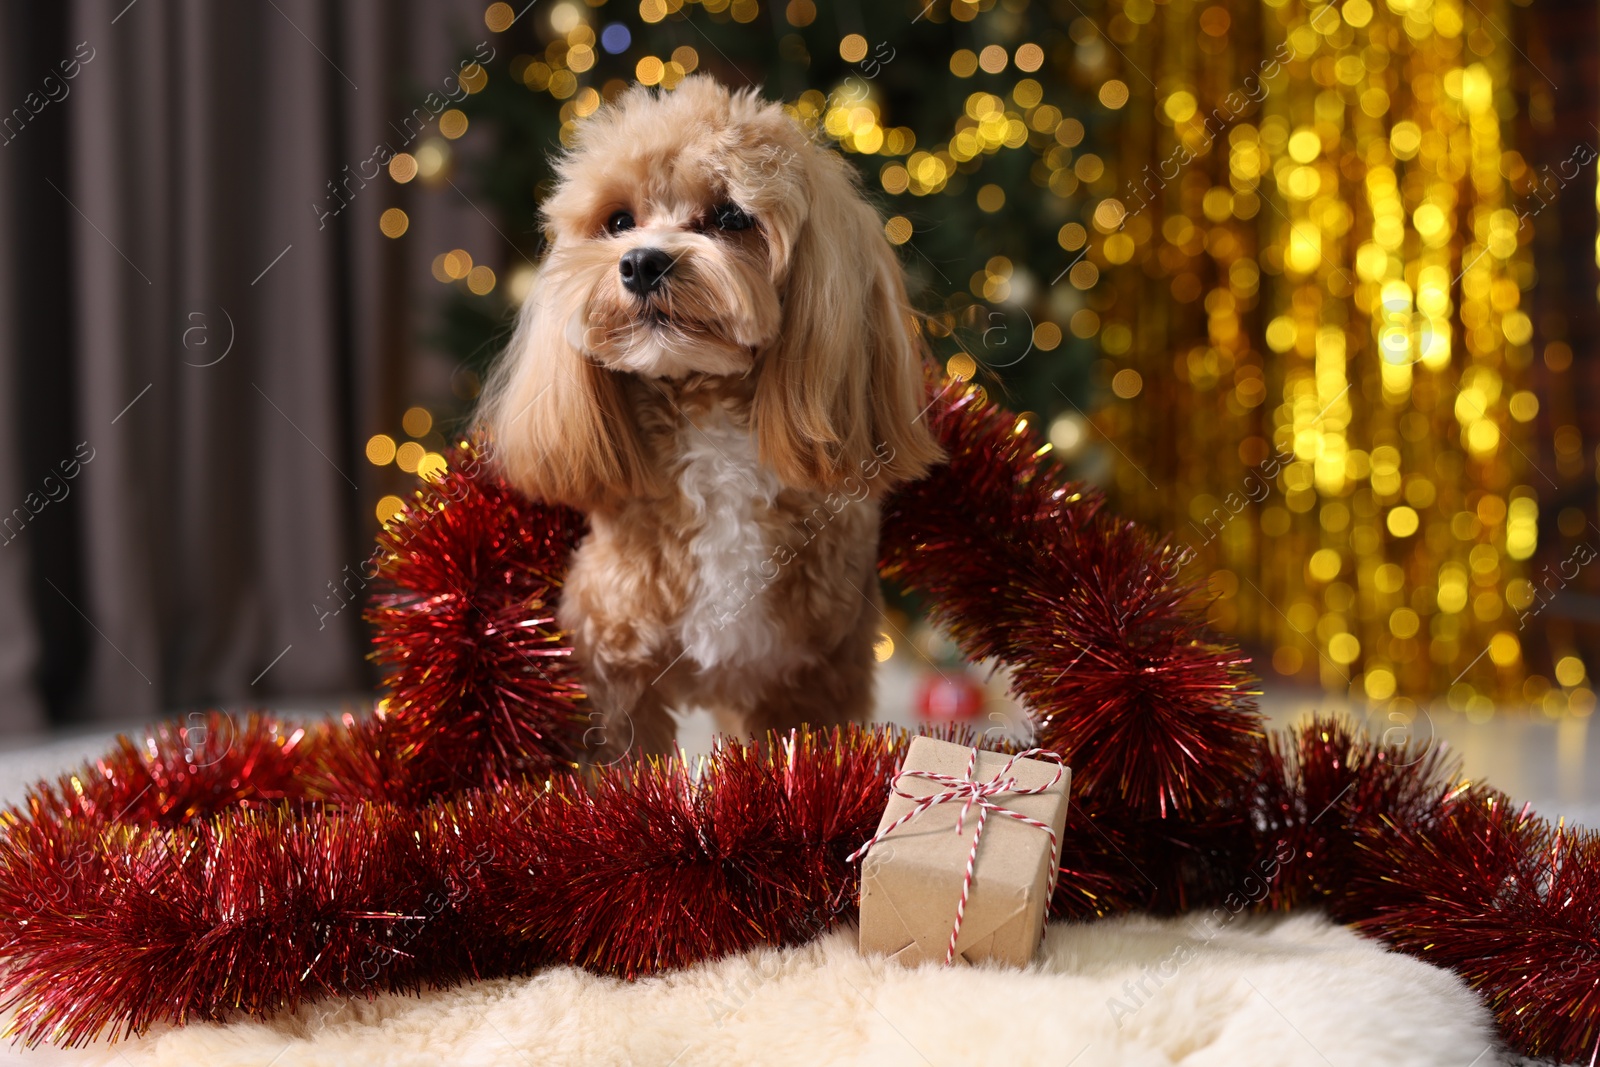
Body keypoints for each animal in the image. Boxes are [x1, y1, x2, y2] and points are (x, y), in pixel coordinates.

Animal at [480, 77, 940, 758]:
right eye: (619, 221)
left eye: (730, 217)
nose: (641, 263)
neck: (709, 420)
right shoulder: (614, 667)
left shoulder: (809, 677)